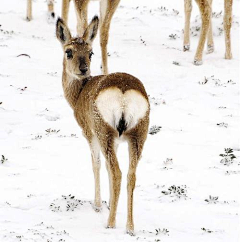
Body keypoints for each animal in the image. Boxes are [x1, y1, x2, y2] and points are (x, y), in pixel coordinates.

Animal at [56, 15, 150, 234]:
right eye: (69, 51)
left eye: (90, 52)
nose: (84, 69)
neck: (78, 94)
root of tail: (124, 92)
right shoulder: (117, 141)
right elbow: (107, 167)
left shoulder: (88, 132)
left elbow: (97, 164)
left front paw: (99, 205)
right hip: (138, 134)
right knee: (131, 175)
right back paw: (130, 227)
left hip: (104, 131)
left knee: (117, 172)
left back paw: (110, 222)